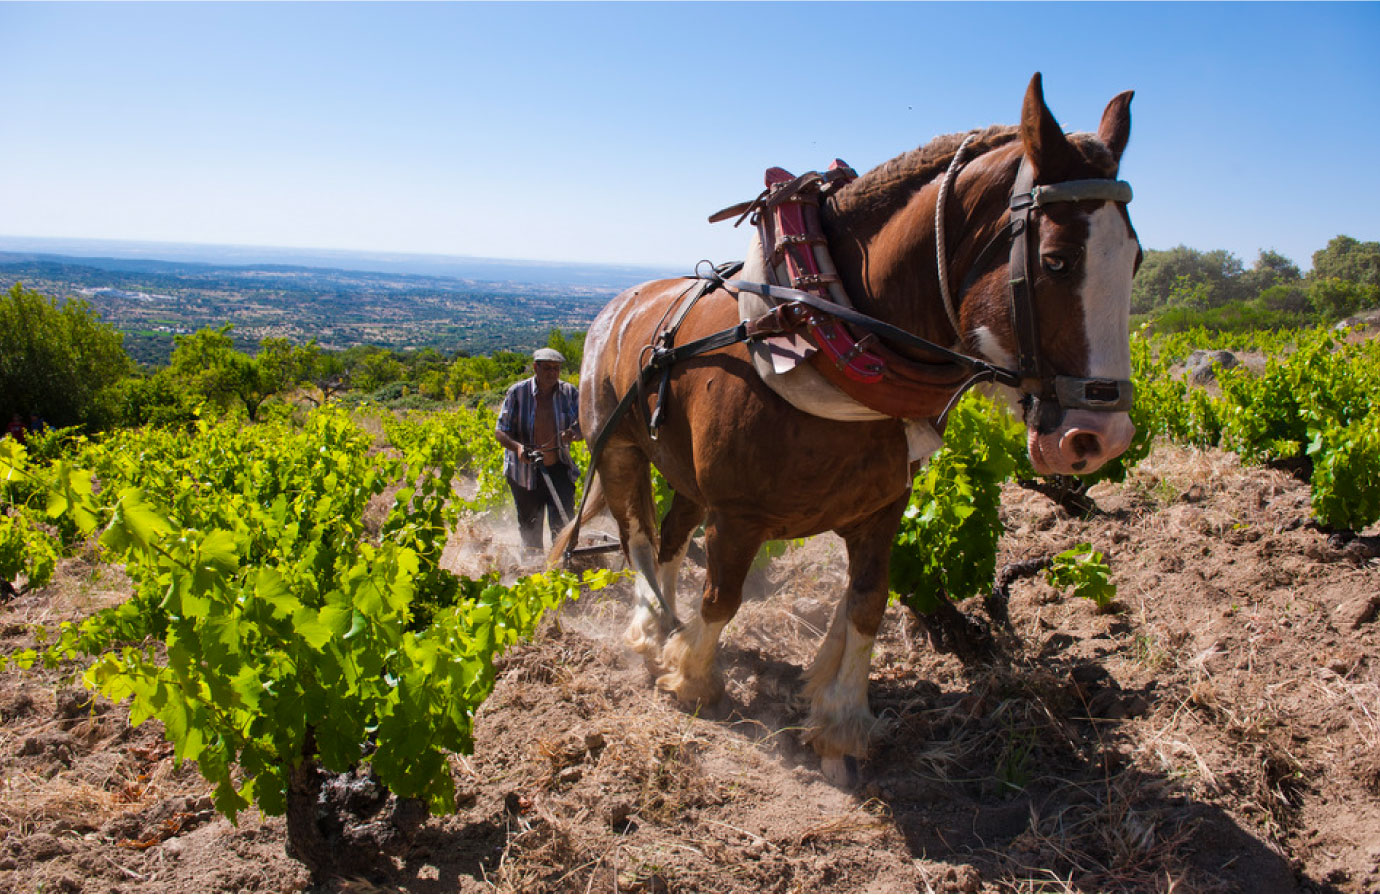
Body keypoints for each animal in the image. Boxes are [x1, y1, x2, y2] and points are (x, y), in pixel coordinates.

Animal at [554, 75, 1137, 783]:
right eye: (1056, 261)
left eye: (1136, 260)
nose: (1099, 439)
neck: (824, 335)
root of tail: (616, 307)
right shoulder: (739, 516)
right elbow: (723, 598)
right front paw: (691, 676)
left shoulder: (881, 510)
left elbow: (866, 606)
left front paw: (838, 721)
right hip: (617, 448)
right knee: (637, 536)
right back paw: (647, 631)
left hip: (685, 474)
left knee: (668, 539)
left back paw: (666, 623)